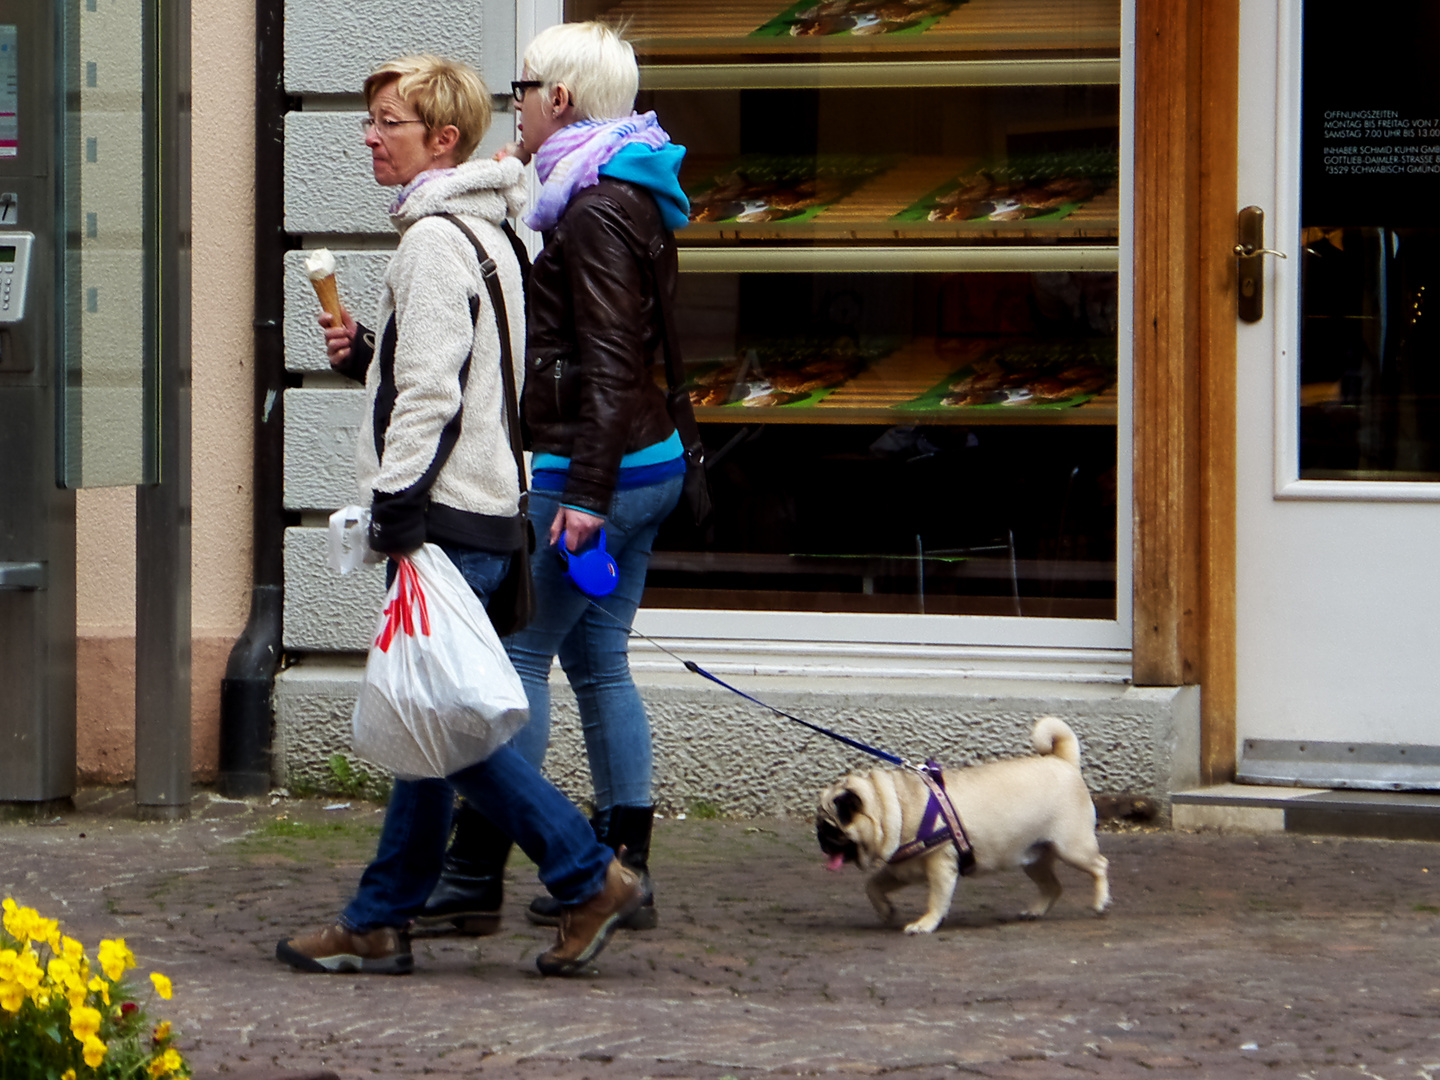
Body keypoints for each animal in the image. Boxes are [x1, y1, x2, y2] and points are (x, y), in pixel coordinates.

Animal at [817, 714, 1105, 933]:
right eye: (820, 826)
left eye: (831, 828)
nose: (820, 839)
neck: (896, 803)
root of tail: (1063, 762)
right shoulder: (902, 870)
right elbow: (872, 886)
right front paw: (886, 911)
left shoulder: (940, 867)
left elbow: (936, 900)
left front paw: (925, 924)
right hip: (1034, 857)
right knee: (1053, 887)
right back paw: (1034, 911)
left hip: (1072, 848)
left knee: (1100, 865)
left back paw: (1100, 902)